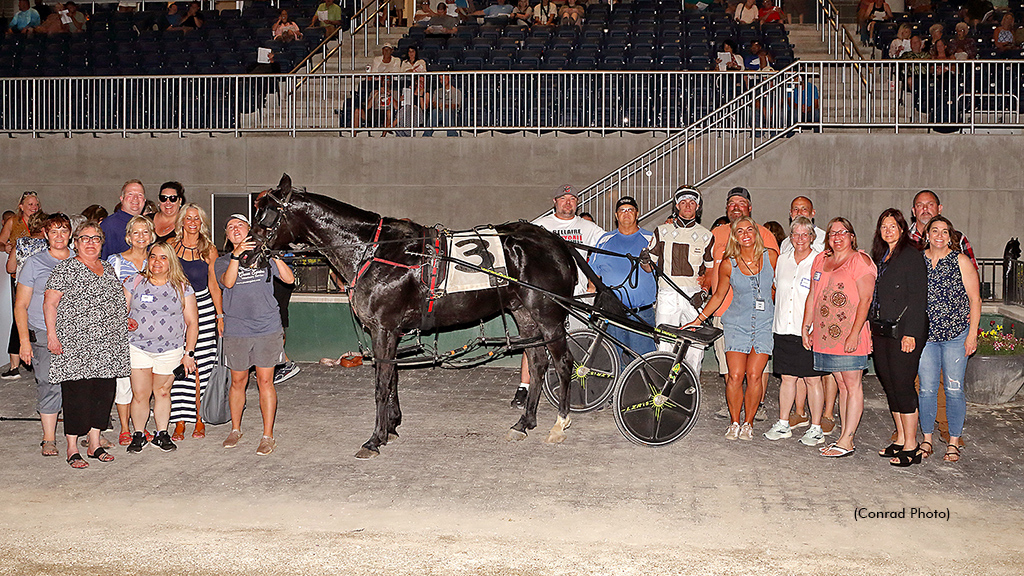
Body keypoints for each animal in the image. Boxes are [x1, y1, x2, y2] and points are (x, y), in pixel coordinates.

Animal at [251, 175, 610, 457]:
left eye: (267, 215)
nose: (248, 255)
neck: (376, 251)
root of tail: (555, 241)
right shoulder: (391, 330)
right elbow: (392, 378)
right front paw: (392, 426)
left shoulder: (383, 328)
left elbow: (382, 383)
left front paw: (375, 439)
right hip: (524, 313)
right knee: (536, 364)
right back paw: (524, 422)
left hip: (549, 315)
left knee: (563, 364)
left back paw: (559, 423)